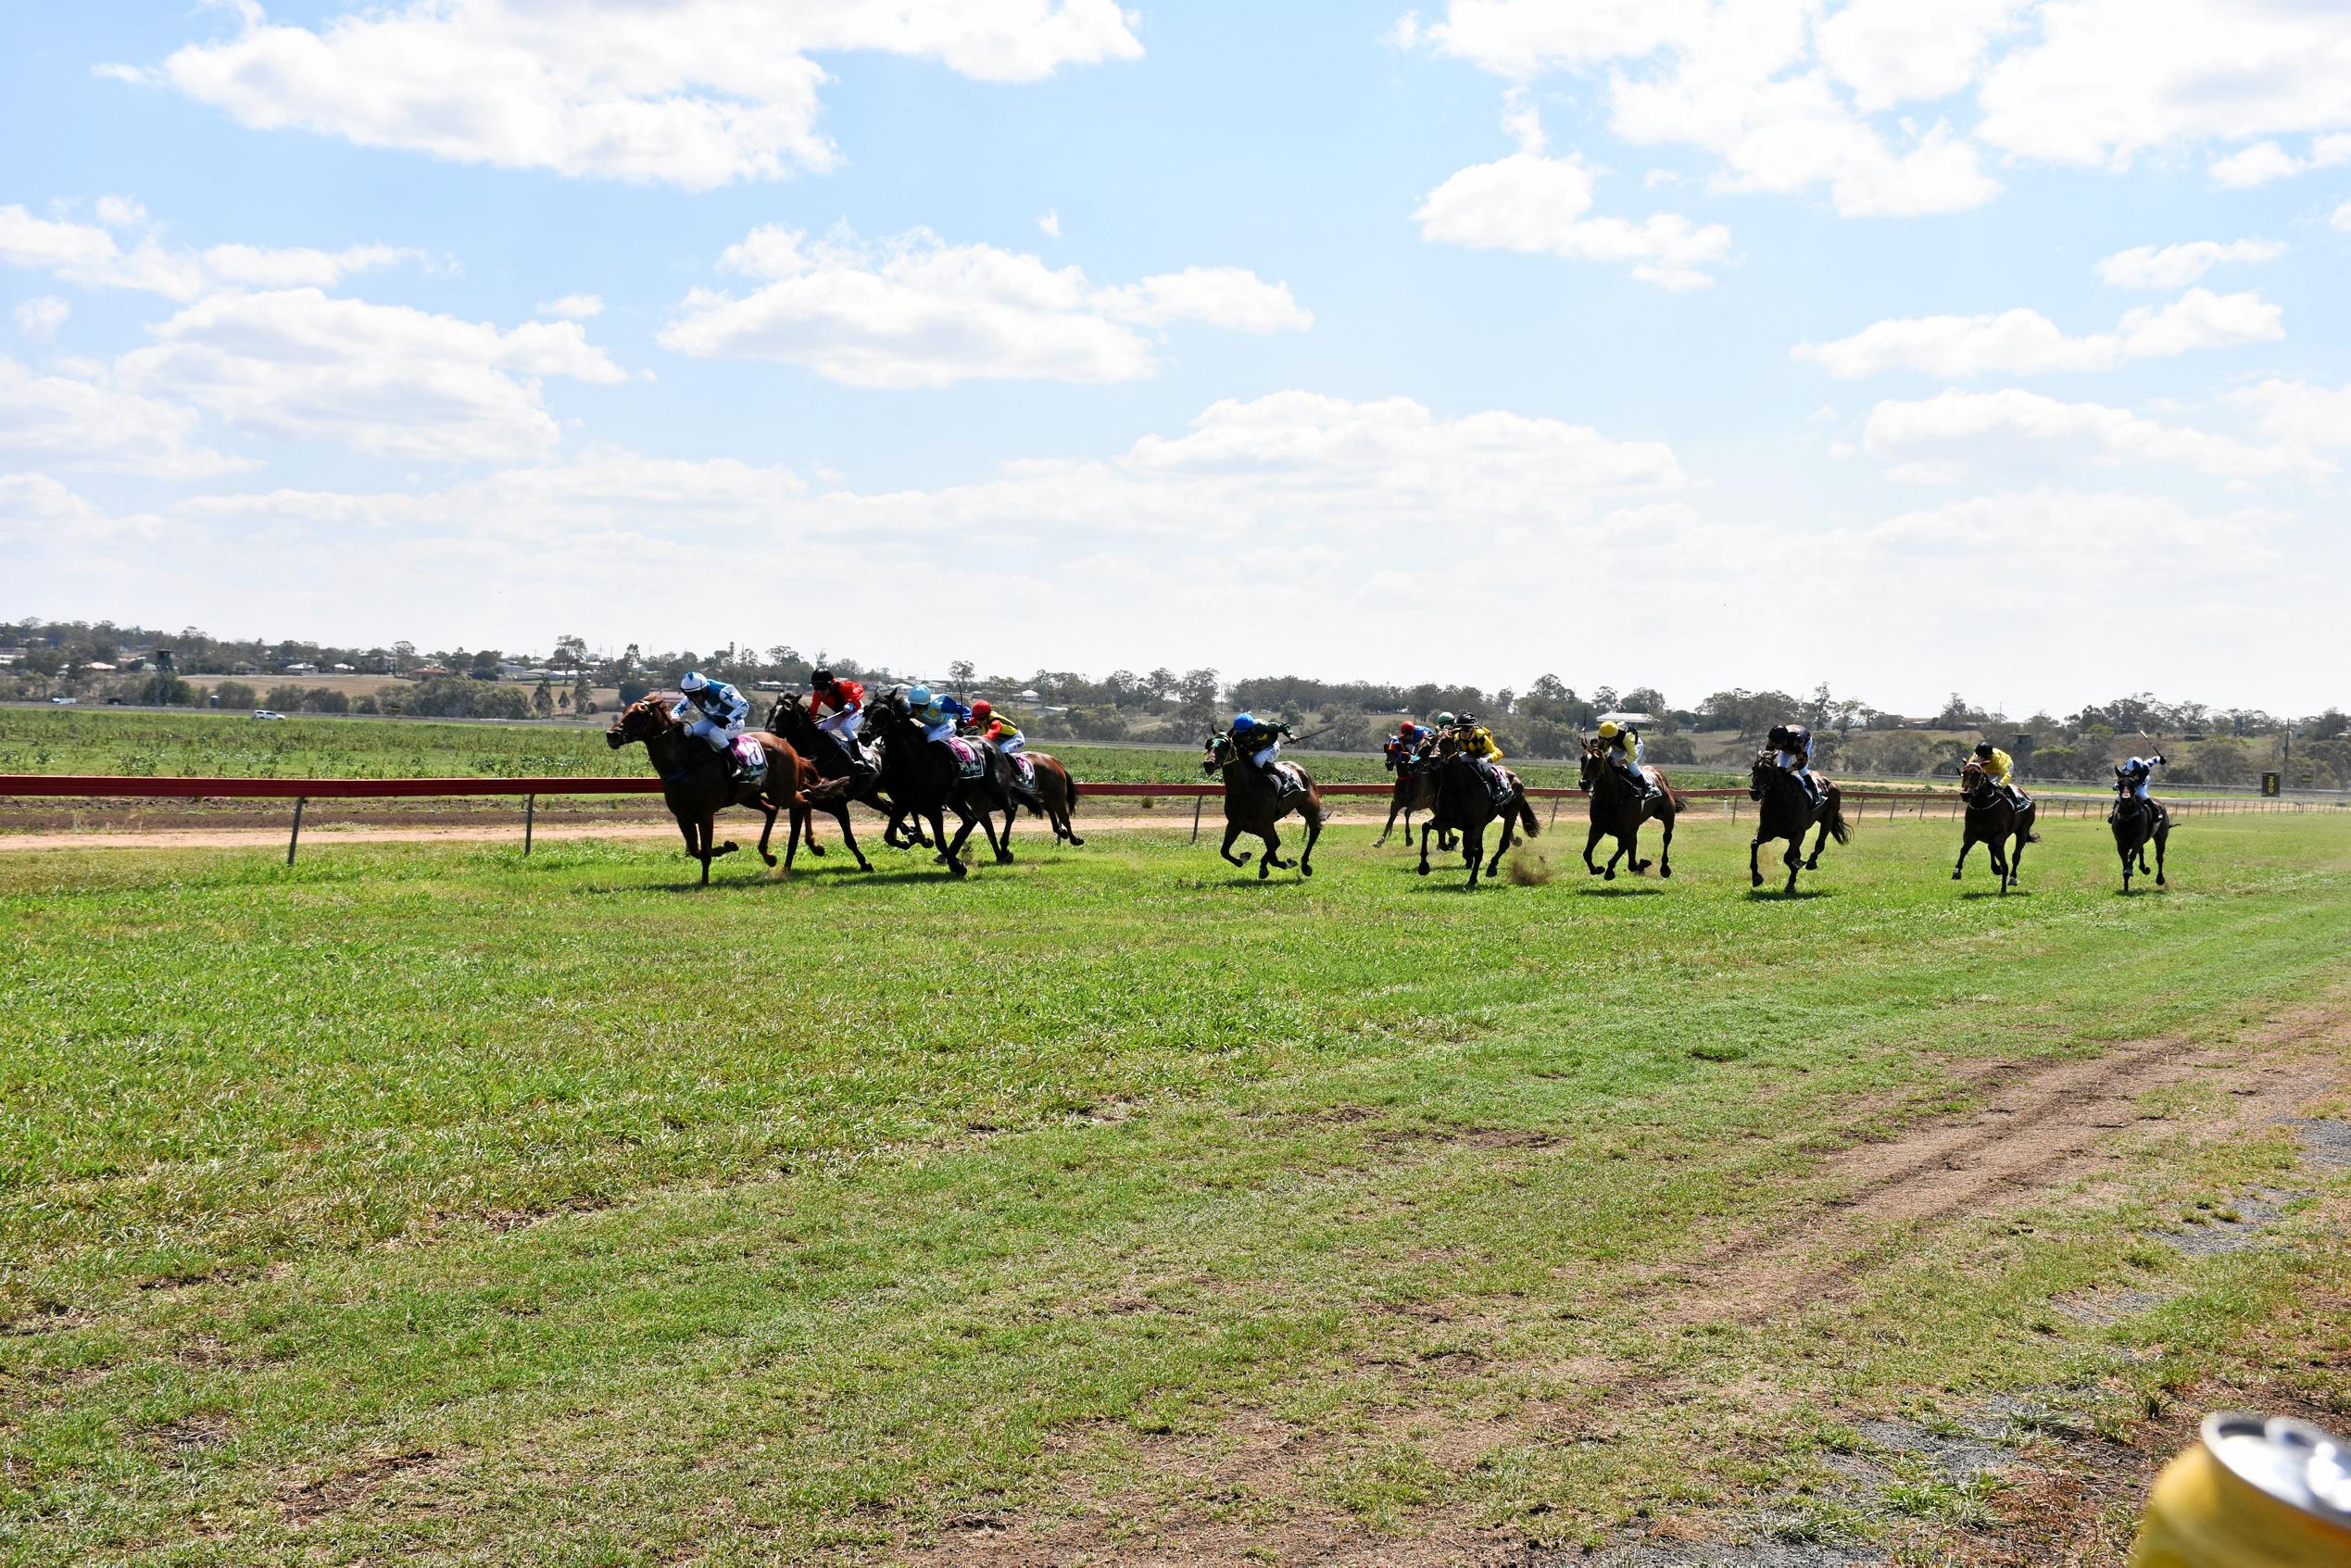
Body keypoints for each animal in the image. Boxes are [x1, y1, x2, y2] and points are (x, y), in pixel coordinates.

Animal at [606, 696, 818, 884]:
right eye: (624, 712)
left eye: (638, 714)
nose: (611, 735)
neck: (684, 763)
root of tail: (787, 746)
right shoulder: (682, 816)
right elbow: (696, 850)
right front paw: (729, 846)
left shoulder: (705, 813)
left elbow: (705, 852)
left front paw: (705, 882)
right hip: (749, 796)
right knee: (773, 809)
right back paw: (768, 856)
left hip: (781, 792)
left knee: (806, 799)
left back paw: (815, 846)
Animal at [1213, 738, 1326, 884]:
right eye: (1209, 744)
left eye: (1225, 745)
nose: (1208, 763)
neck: (1245, 789)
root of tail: (1301, 769)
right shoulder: (1235, 824)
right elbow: (1224, 851)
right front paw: (1245, 858)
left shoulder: (1264, 825)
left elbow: (1274, 856)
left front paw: (1288, 863)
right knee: (1276, 843)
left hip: (1308, 808)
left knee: (1314, 832)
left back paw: (1305, 865)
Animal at [1570, 738, 1683, 884]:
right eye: (1582, 758)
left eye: (1597, 760)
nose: (1584, 783)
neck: (1611, 798)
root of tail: (1659, 775)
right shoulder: (1597, 828)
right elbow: (1587, 853)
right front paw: (1598, 869)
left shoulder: (1627, 830)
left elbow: (1627, 856)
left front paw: (1614, 870)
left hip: (1667, 816)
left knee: (1666, 837)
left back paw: (1664, 868)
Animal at [1740, 752, 1842, 893]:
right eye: (1753, 768)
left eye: (1768, 769)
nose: (1754, 792)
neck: (1780, 802)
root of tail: (1828, 781)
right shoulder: (1767, 831)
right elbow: (1754, 844)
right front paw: (1756, 877)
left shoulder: (1798, 834)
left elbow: (1788, 857)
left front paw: (1794, 873)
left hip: (1828, 818)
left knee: (1820, 844)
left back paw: (1811, 861)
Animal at [1955, 761, 2030, 893]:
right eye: (1963, 772)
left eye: (1977, 773)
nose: (1966, 794)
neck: (1982, 806)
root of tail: (2024, 792)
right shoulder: (1970, 834)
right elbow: (1963, 850)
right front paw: (1957, 871)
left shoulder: (1999, 837)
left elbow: (2004, 861)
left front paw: (2003, 888)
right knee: (1991, 849)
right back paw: (1996, 868)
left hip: (2023, 831)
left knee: (2016, 855)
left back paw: (2012, 878)